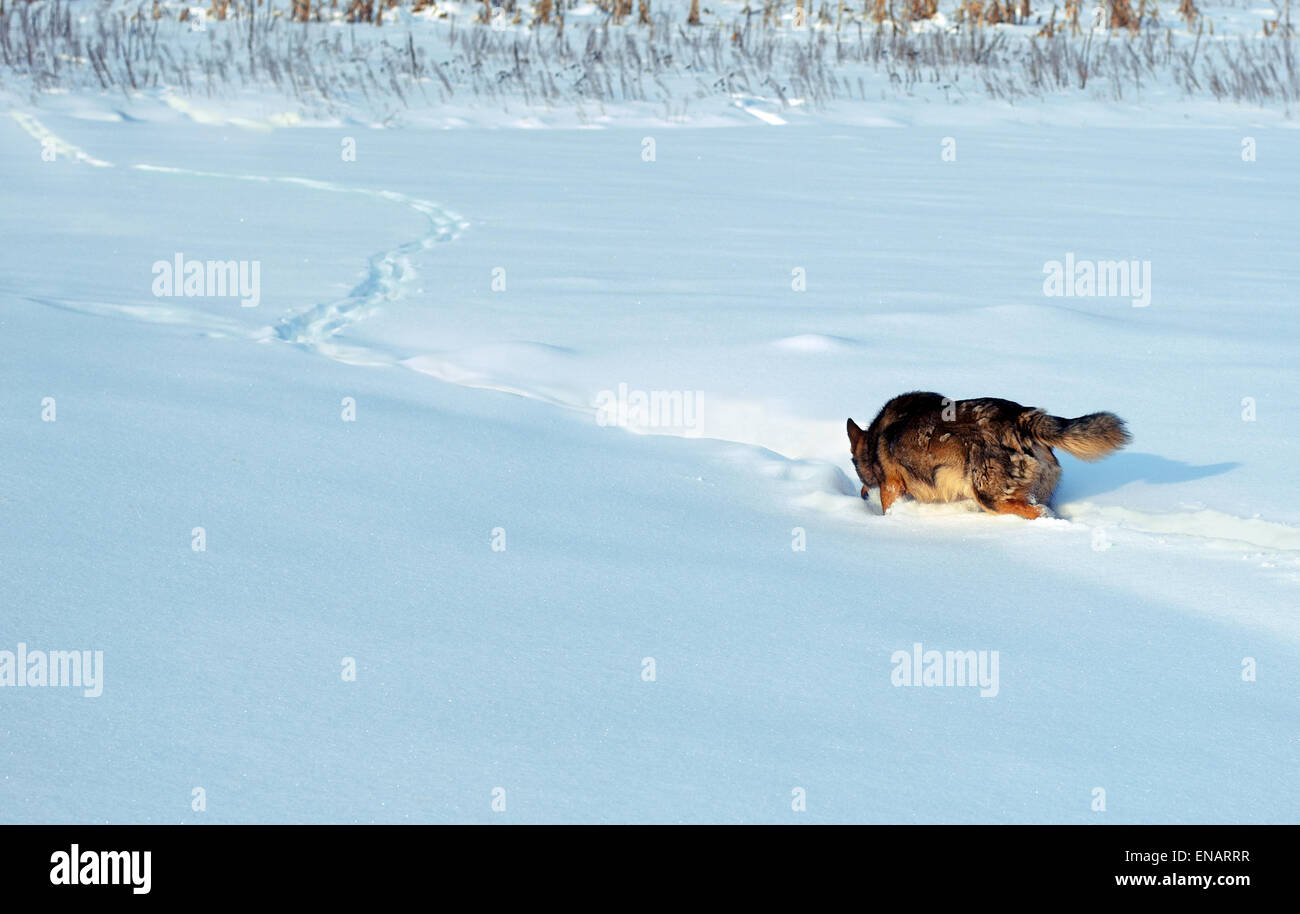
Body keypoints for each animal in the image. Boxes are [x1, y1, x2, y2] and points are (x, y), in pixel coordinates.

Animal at [852, 392, 1128, 522]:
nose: (862, 495)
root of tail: (1022, 417)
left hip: (991, 499)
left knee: (1038, 513)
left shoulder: (891, 486)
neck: (874, 439)